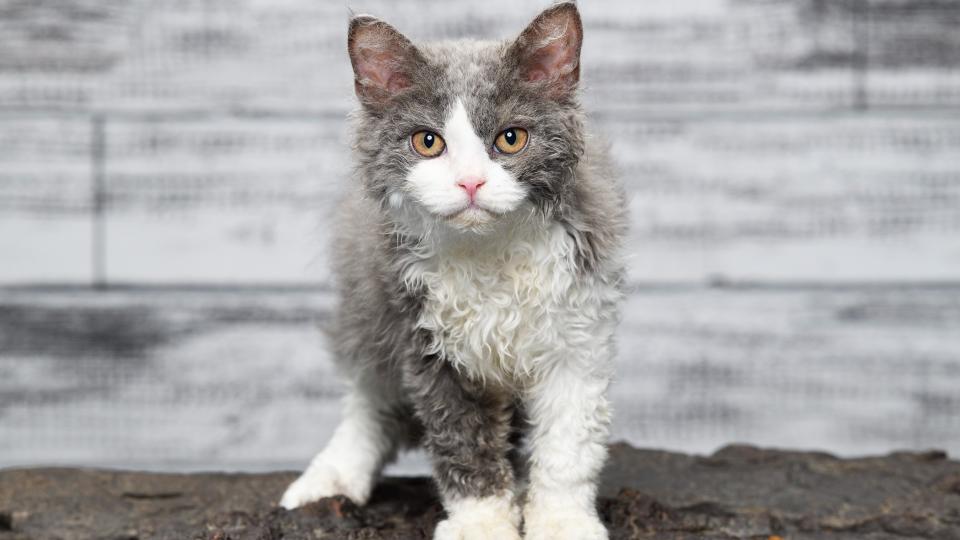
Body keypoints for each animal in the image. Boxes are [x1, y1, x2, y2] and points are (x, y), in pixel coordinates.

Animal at [278, 2, 628, 536]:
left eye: (511, 139)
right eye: (427, 142)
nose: (470, 182)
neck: (490, 253)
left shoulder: (580, 333)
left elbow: (568, 446)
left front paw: (561, 521)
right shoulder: (425, 342)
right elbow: (462, 444)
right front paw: (481, 523)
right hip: (366, 307)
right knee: (370, 401)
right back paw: (331, 476)